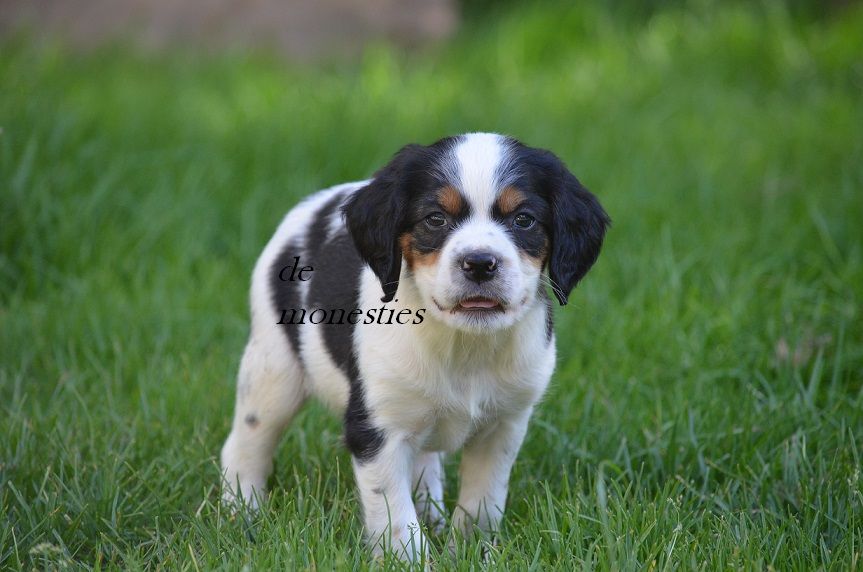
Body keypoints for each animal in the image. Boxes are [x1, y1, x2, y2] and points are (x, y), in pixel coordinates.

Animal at [223, 133, 616, 560]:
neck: (462, 344)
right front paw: (408, 560)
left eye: (523, 219)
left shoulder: (505, 424)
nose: (480, 263)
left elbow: (483, 501)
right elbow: (395, 516)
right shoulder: (377, 429)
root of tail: (315, 204)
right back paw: (241, 513)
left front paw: (471, 551)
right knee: (246, 444)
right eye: (435, 219)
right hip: (273, 369)